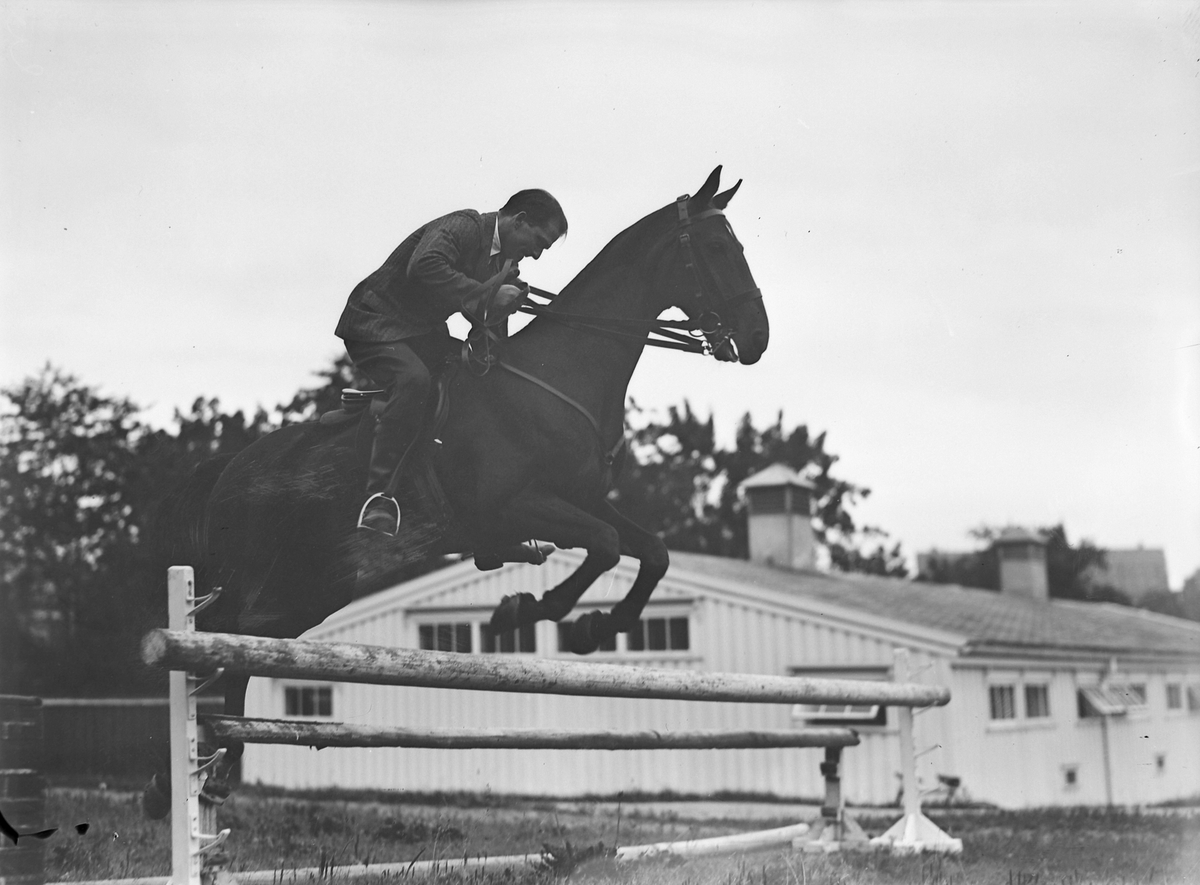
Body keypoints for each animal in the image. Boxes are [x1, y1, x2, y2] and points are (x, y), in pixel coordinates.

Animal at [142, 166, 768, 815]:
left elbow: (651, 552)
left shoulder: (579, 501)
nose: (757, 338)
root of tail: (230, 467)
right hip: (257, 573)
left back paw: (214, 768)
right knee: (220, 641)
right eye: (718, 248)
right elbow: (604, 545)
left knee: (246, 645)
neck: (558, 375)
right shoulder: (512, 508)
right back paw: (184, 775)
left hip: (309, 591)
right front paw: (532, 610)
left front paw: (596, 626)